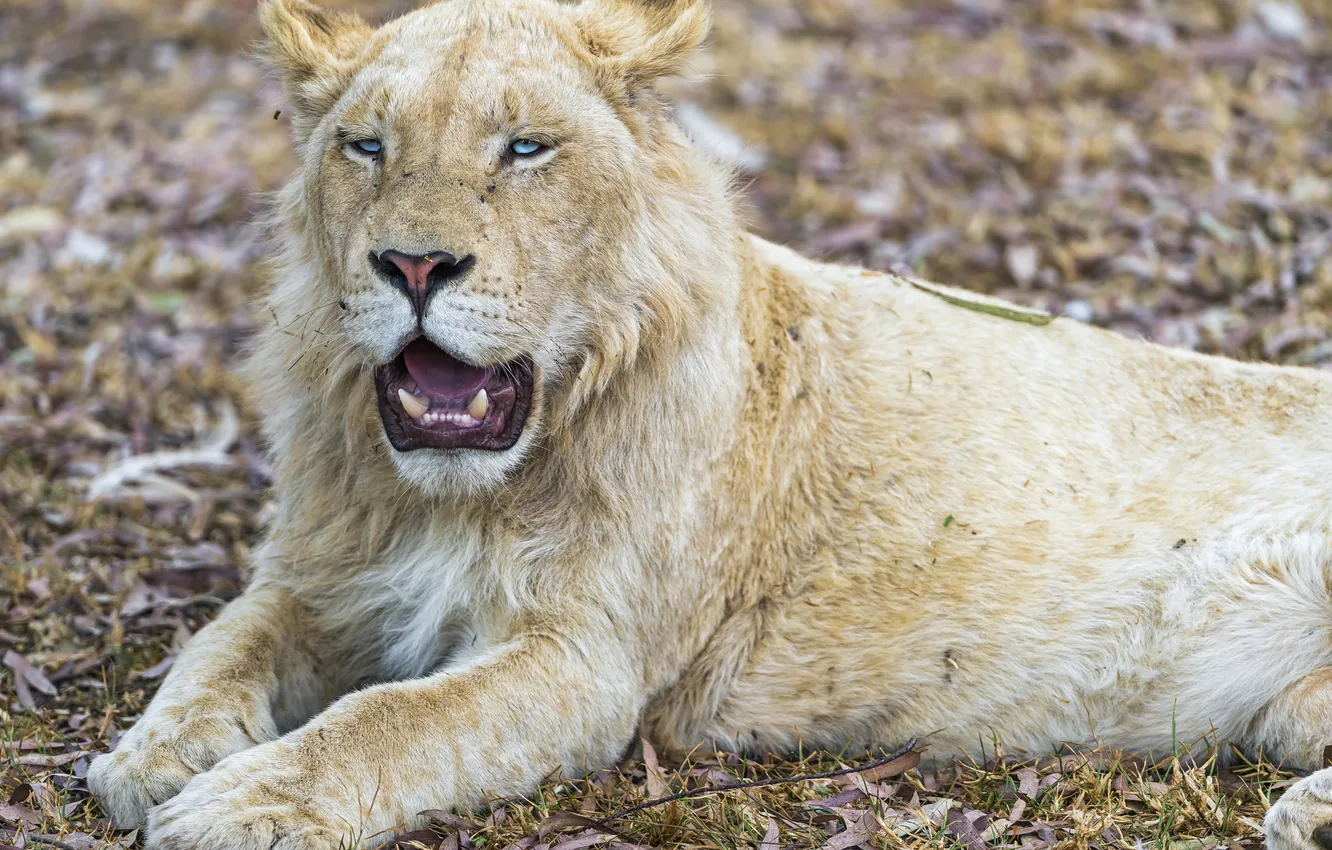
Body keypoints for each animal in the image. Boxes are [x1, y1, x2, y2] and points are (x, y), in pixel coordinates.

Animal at [85, 0, 1332, 847]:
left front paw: (242, 800)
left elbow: (394, 717)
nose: (415, 264)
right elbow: (218, 645)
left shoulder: (583, 663)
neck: (453, 493)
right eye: (368, 146)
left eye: (524, 148)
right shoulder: (322, 576)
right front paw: (152, 754)